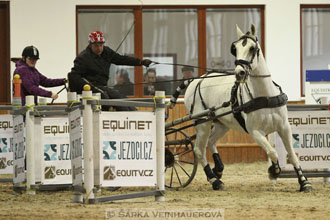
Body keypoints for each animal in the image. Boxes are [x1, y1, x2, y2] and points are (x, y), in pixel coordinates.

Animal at [169, 24, 314, 192]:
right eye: (235, 49)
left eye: (252, 48)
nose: (240, 73)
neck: (264, 96)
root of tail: (196, 80)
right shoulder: (255, 131)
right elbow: (272, 152)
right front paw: (274, 171)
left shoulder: (284, 127)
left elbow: (292, 154)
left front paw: (304, 182)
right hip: (203, 123)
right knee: (199, 150)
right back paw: (214, 180)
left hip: (222, 124)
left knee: (211, 142)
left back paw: (218, 170)